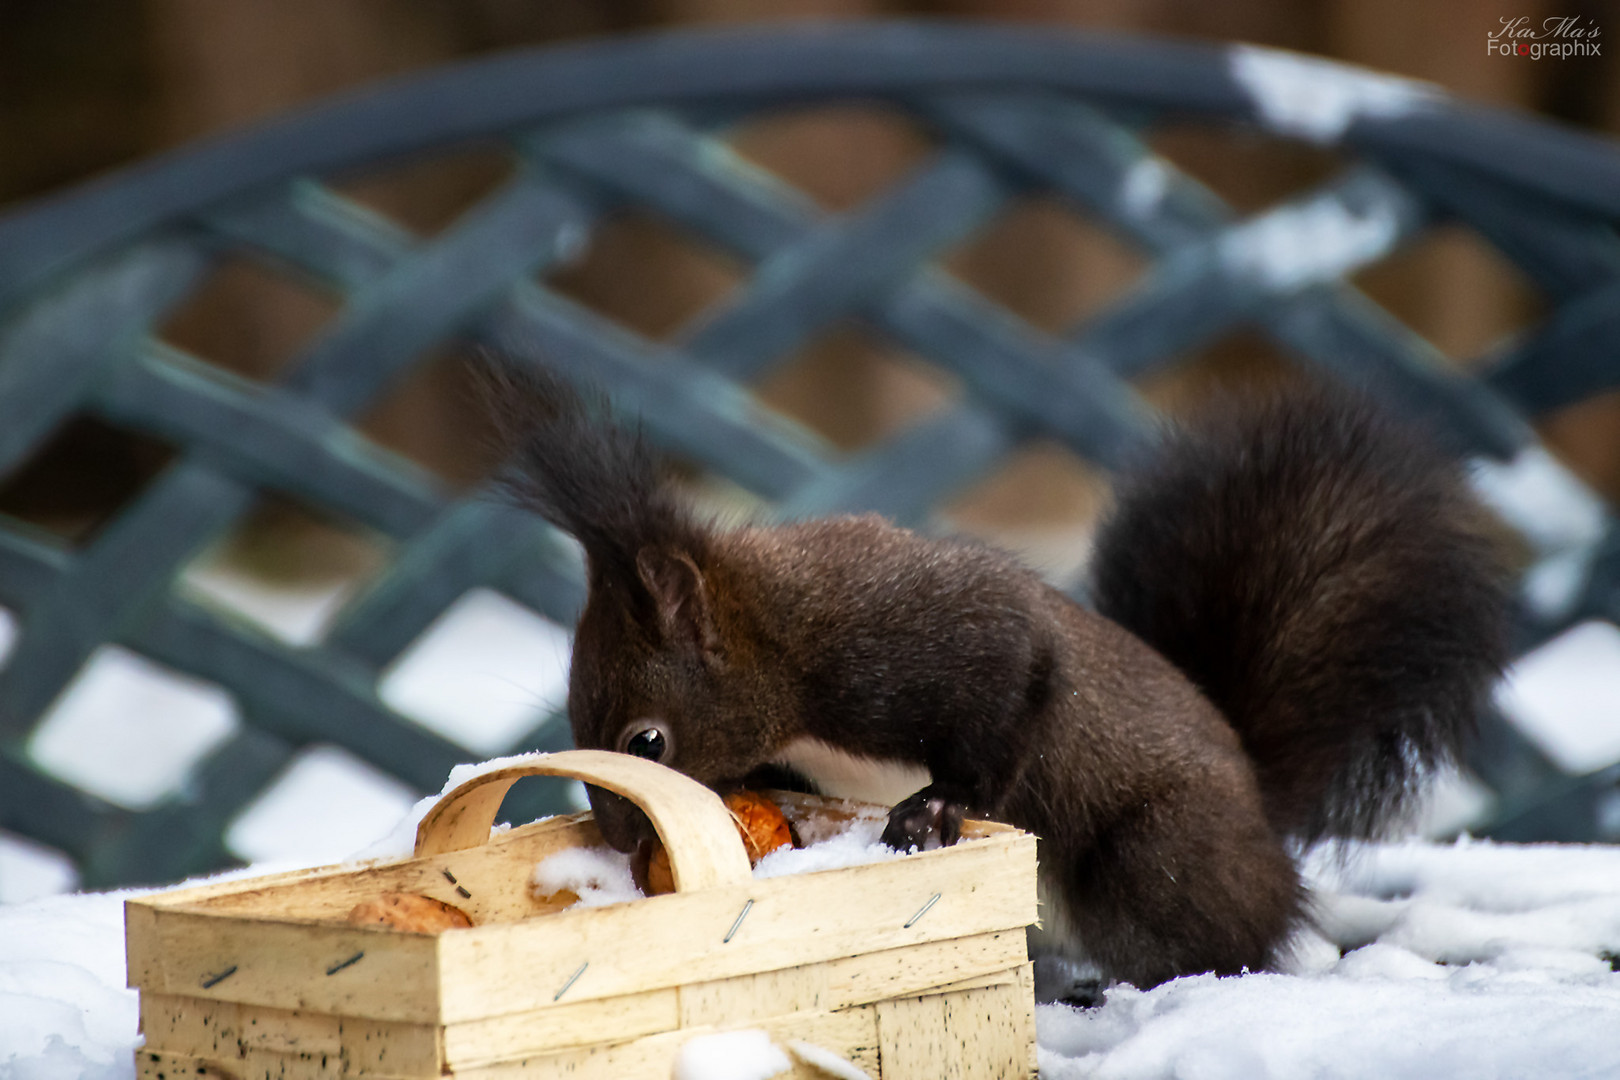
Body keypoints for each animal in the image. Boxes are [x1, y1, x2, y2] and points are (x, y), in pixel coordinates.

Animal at [479, 361, 1503, 997]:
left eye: (647, 741)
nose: (622, 840)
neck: (779, 639)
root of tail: (1259, 805)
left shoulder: (909, 640)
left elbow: (1012, 688)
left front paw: (937, 806)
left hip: (1162, 855)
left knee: (1219, 945)